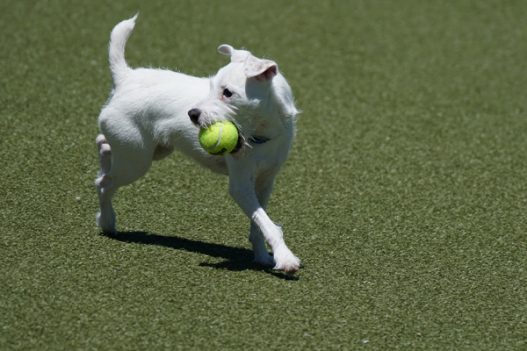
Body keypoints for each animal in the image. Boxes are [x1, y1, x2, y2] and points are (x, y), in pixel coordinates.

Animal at [95, 15, 302, 276]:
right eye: (211, 86)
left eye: (227, 93)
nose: (192, 114)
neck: (261, 134)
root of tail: (126, 78)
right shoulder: (241, 185)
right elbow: (266, 223)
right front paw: (285, 258)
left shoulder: (265, 182)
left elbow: (258, 222)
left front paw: (263, 256)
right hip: (136, 160)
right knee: (104, 183)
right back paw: (107, 221)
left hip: (151, 150)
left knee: (103, 145)